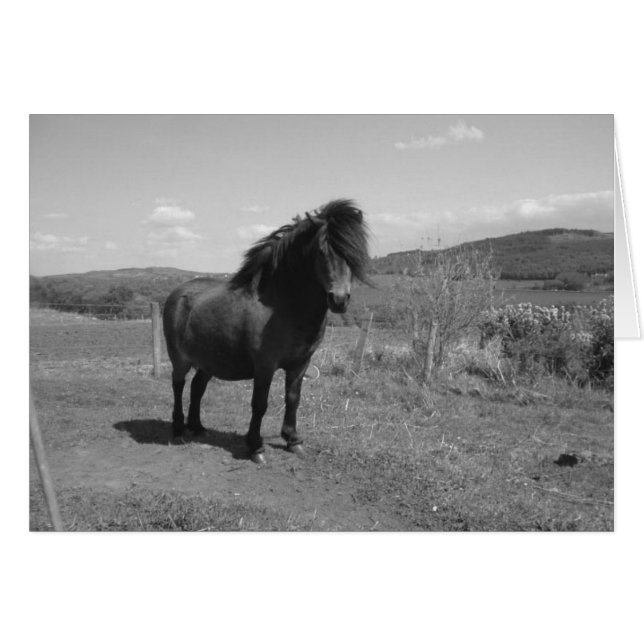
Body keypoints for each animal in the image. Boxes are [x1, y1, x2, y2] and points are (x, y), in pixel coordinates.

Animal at [162, 199, 370, 464]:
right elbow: (259, 404)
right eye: (322, 251)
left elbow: (293, 399)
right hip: (180, 359)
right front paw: (256, 447)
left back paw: (197, 427)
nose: (339, 300)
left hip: (209, 362)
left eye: (353, 253)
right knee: (178, 385)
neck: (284, 304)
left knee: (197, 387)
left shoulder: (300, 364)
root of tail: (177, 293)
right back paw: (178, 430)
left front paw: (293, 441)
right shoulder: (265, 365)